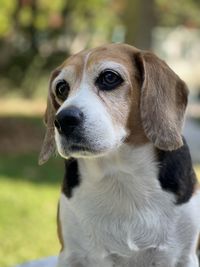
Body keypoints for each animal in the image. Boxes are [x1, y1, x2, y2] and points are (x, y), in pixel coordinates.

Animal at [38, 43, 200, 266]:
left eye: (109, 77)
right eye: (61, 88)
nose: (63, 120)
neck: (120, 174)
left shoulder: (185, 257)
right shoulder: (71, 255)